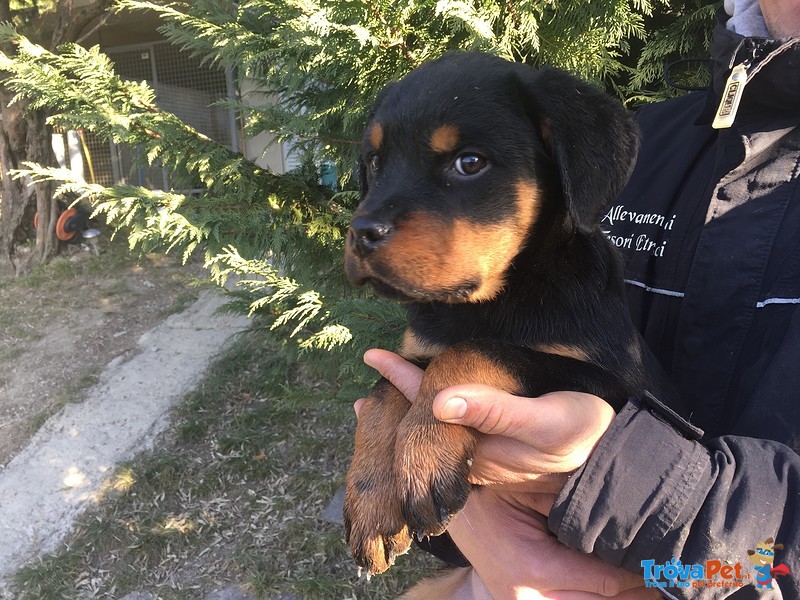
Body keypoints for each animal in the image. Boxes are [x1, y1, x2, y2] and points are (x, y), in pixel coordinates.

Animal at [344, 50, 648, 580]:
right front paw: (370, 504)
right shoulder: (415, 351)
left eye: (470, 163)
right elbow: (386, 389)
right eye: (375, 162)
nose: (361, 232)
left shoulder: (613, 384)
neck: (497, 298)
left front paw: (426, 453)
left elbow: (480, 349)